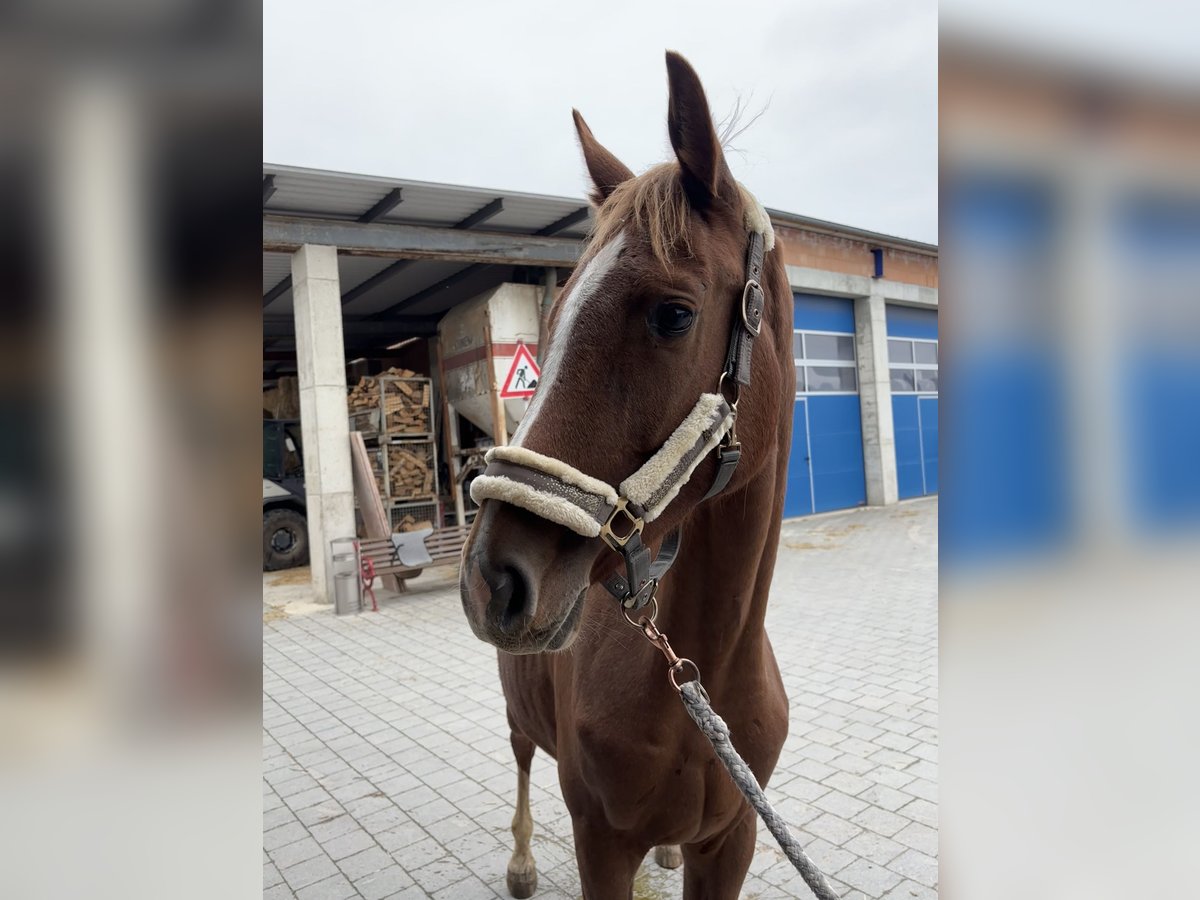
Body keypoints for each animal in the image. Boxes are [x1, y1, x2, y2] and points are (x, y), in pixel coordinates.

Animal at [460, 52, 796, 897]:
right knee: (519, 754)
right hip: (519, 715)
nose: (491, 578)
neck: (702, 676)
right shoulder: (601, 844)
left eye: (672, 314)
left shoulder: (733, 843)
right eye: (550, 324)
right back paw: (520, 863)